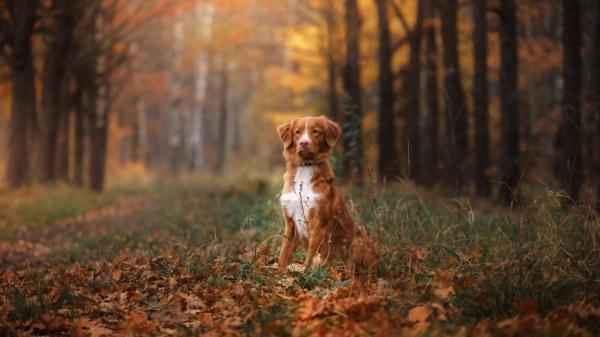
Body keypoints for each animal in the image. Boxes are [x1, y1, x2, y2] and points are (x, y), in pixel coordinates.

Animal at [276, 115, 378, 272]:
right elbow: (284, 252)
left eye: (315, 131)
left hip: (357, 241)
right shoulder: (290, 222)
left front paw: (305, 271)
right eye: (297, 132)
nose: (304, 143)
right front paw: (279, 272)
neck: (306, 167)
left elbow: (311, 253)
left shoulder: (318, 222)